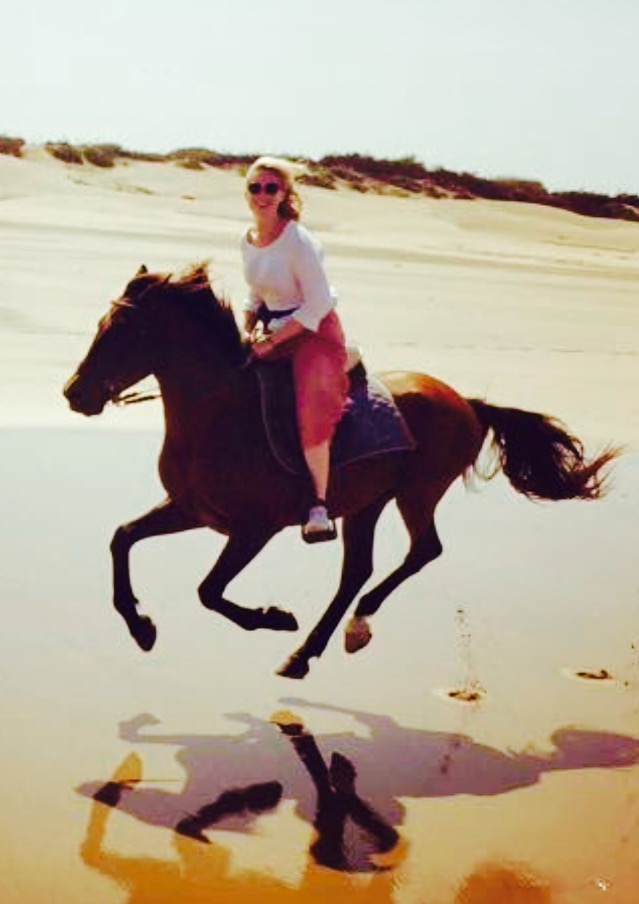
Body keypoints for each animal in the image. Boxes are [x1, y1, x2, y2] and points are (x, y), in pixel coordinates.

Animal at [62, 264, 616, 676]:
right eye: (102, 324)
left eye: (125, 330)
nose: (74, 393)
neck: (220, 413)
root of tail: (468, 403)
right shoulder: (191, 510)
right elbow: (122, 538)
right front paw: (140, 626)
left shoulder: (253, 529)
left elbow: (209, 590)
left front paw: (274, 618)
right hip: (368, 504)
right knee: (359, 570)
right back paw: (308, 652)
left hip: (417, 493)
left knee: (422, 551)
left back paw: (347, 629)